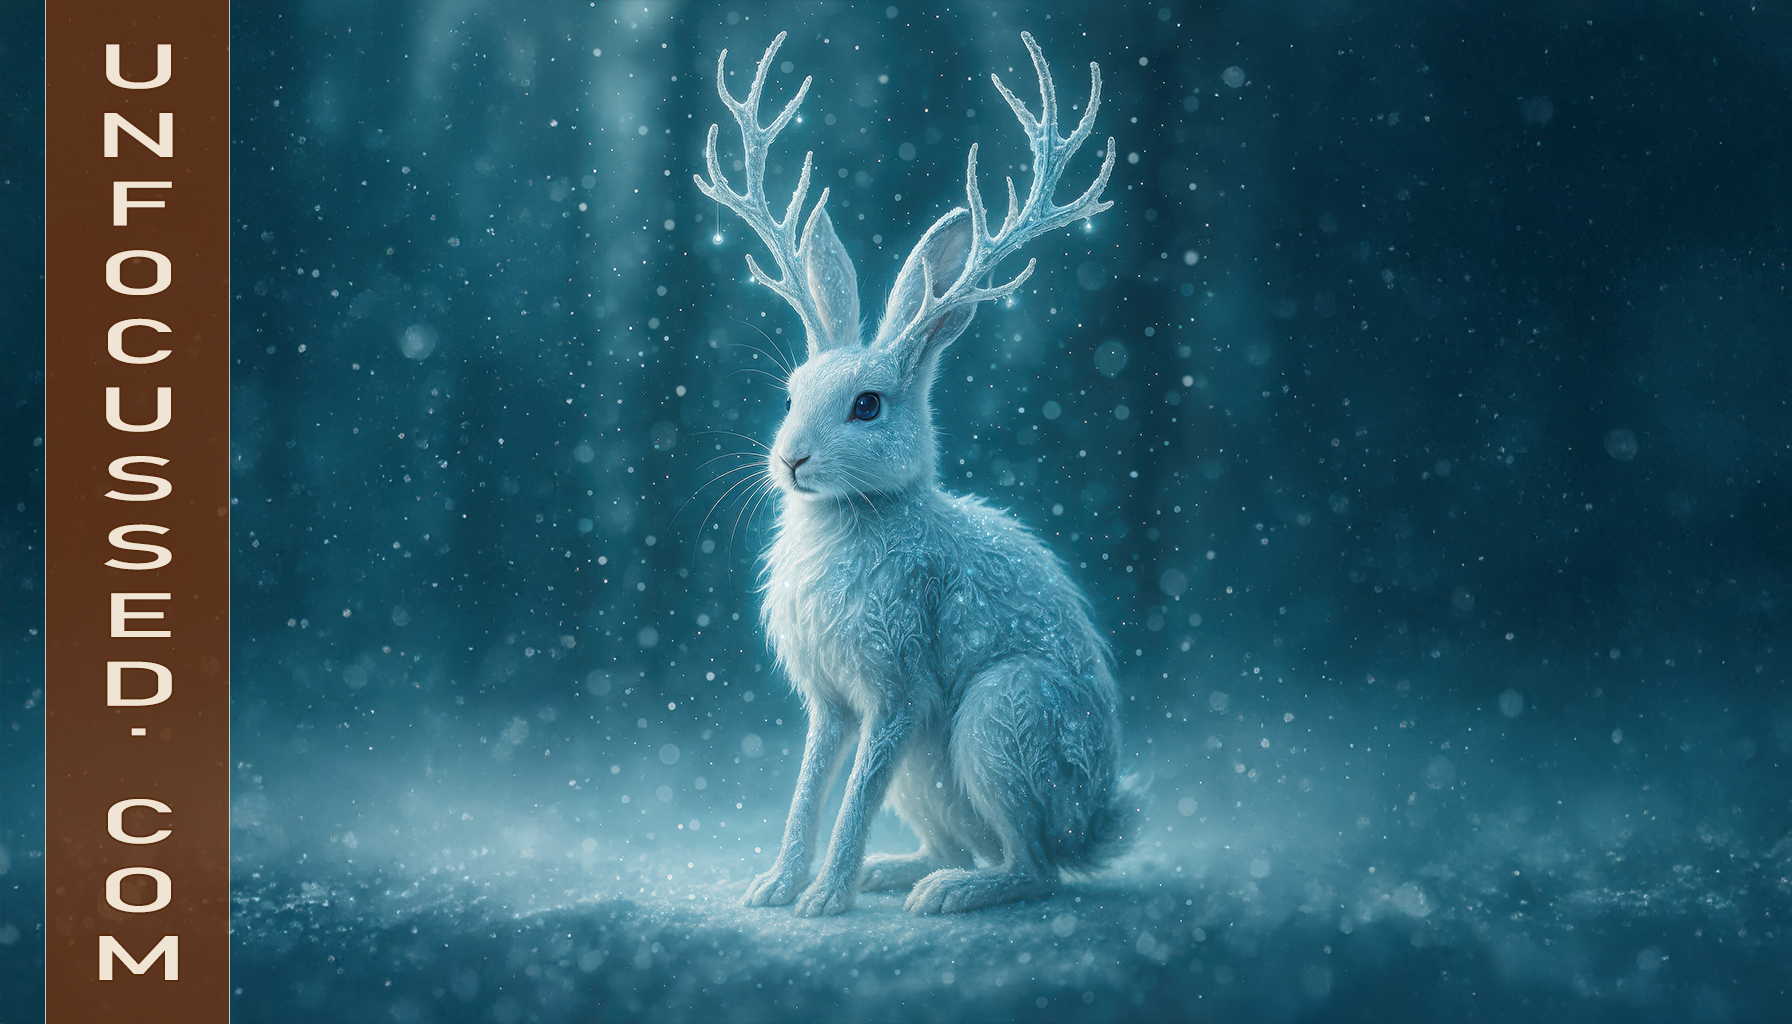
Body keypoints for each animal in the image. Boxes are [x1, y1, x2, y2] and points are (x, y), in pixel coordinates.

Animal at [694, 30, 1127, 916]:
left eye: (868, 406)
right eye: (789, 394)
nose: (790, 461)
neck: (857, 514)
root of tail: (1096, 828)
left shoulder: (896, 695)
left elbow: (852, 795)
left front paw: (822, 901)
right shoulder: (831, 706)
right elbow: (809, 788)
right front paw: (774, 888)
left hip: (999, 719)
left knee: (1032, 866)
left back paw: (946, 894)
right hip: (932, 777)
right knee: (965, 842)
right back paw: (898, 873)